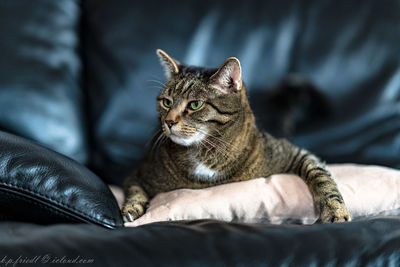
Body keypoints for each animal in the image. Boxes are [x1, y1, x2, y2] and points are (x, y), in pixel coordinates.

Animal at [122, 49, 350, 224]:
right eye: (167, 102)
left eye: (195, 104)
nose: (168, 122)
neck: (207, 154)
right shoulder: (140, 171)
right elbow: (133, 189)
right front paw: (131, 209)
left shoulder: (294, 153)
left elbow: (321, 176)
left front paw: (335, 212)